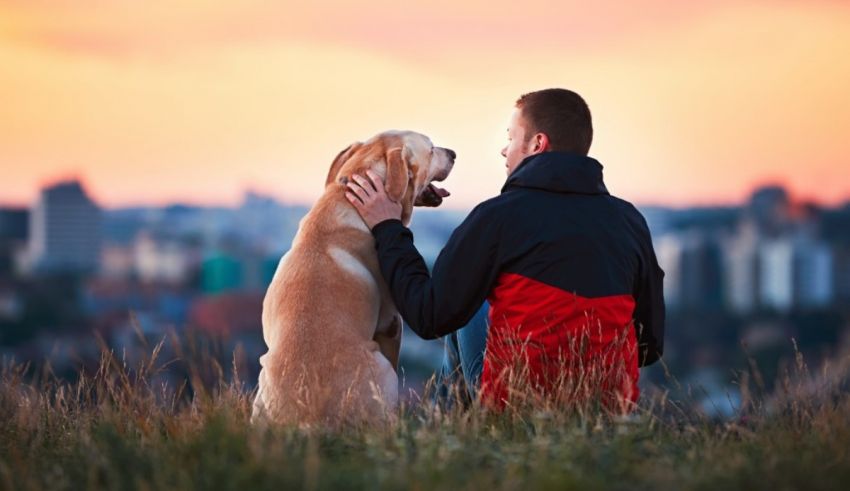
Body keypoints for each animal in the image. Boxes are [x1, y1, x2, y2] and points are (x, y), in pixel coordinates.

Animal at [250, 130, 454, 426]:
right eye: (430, 149)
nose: (453, 153)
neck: (346, 200)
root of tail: (308, 419)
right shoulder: (392, 322)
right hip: (382, 369)